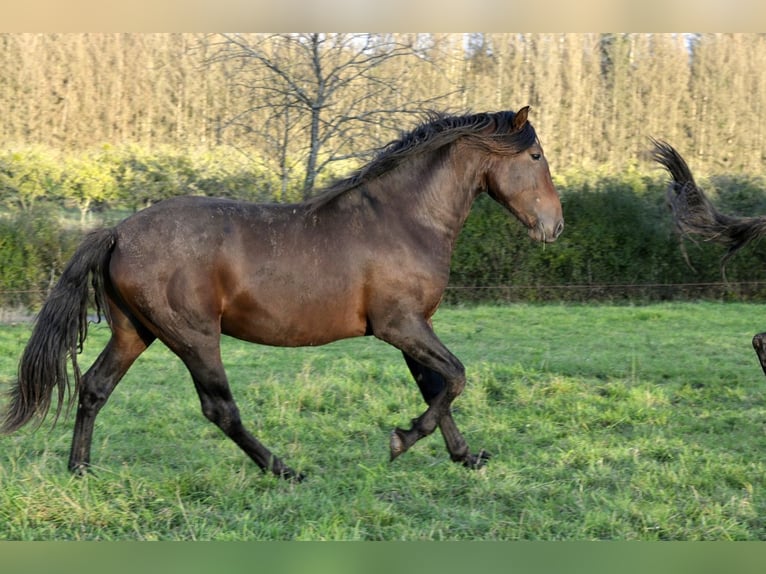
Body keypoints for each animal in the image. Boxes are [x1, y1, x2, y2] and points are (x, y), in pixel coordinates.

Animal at [0, 108, 564, 482]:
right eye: (535, 154)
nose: (554, 226)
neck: (404, 219)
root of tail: (118, 231)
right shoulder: (400, 326)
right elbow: (456, 378)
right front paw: (400, 440)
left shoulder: (413, 328)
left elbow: (437, 388)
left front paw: (465, 456)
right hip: (193, 337)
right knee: (219, 408)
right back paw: (284, 470)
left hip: (134, 332)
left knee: (94, 387)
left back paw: (80, 469)